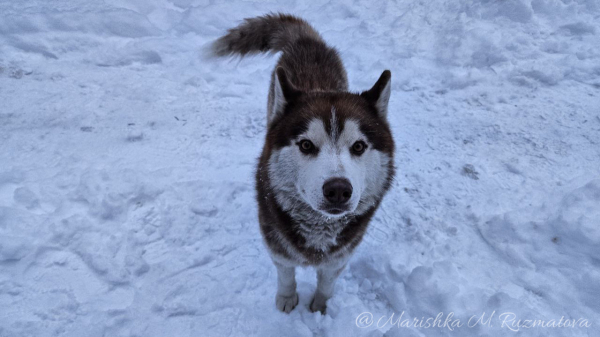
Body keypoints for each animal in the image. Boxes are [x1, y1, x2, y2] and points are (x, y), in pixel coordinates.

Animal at [209, 13, 396, 312]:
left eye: (358, 146)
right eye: (306, 145)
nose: (338, 190)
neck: (320, 228)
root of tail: (308, 41)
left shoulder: (340, 257)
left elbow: (327, 282)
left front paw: (320, 307)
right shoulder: (276, 246)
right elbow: (286, 274)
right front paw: (287, 299)